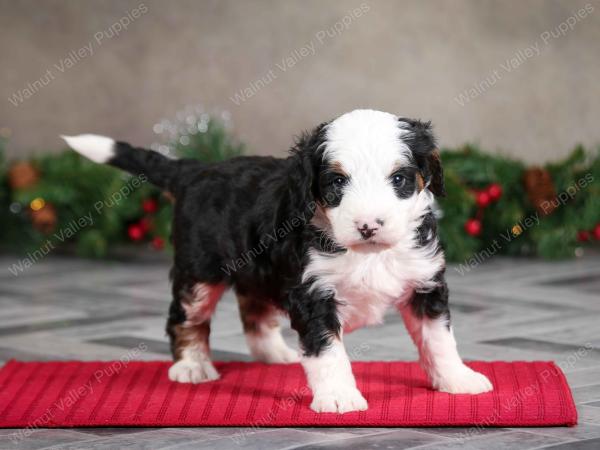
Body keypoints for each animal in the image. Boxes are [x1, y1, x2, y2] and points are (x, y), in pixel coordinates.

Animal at [62, 108, 492, 412]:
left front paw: (458, 379)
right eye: (337, 182)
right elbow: (328, 351)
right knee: (185, 317)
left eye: (400, 179)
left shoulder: (425, 283)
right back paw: (191, 366)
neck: (366, 254)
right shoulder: (313, 293)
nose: (369, 225)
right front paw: (339, 397)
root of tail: (197, 169)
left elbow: (439, 339)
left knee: (253, 309)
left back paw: (274, 354)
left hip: (256, 268)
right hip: (199, 269)